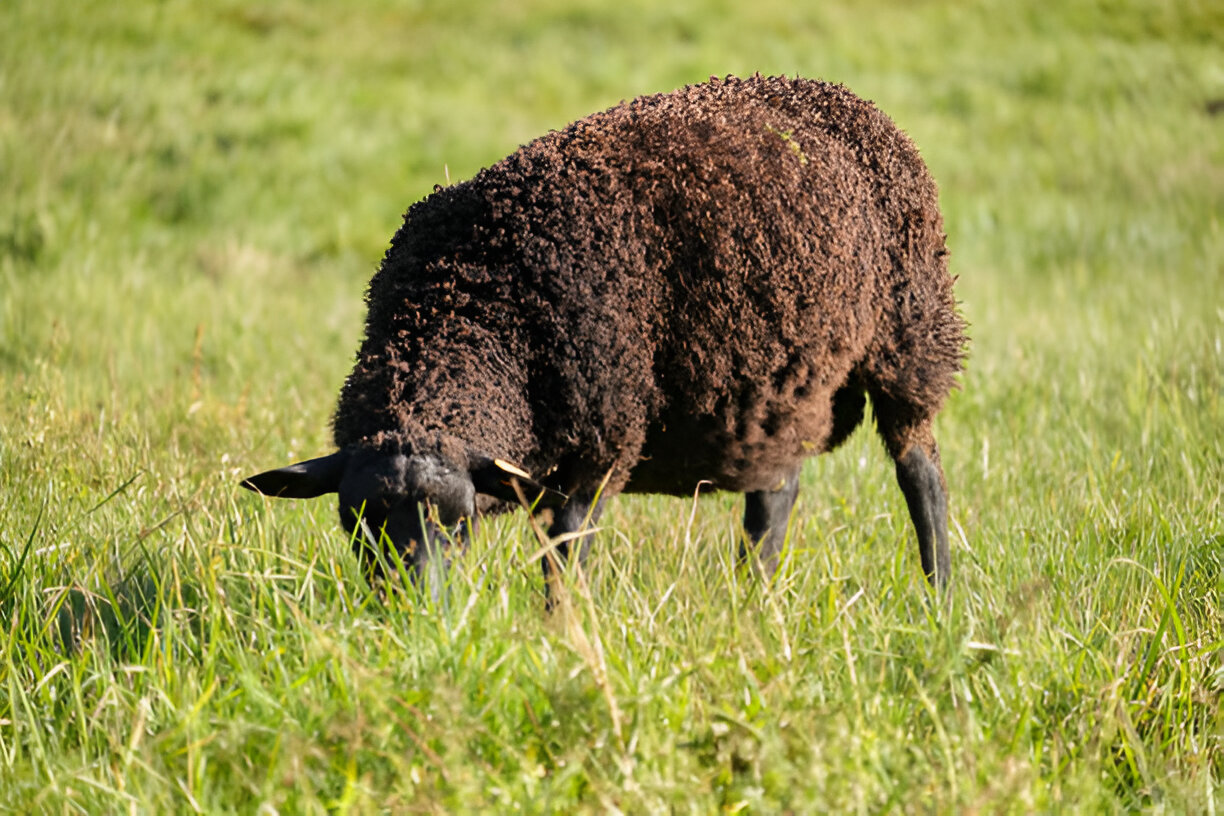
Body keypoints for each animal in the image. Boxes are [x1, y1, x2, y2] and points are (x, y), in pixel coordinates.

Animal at [241, 74, 967, 598]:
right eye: (355, 523)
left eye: (460, 523)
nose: (410, 611)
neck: (471, 306)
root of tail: (837, 95)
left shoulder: (600, 442)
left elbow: (564, 557)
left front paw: (560, 635)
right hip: (775, 388)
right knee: (775, 495)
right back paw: (752, 601)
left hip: (911, 339)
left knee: (921, 475)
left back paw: (940, 601)